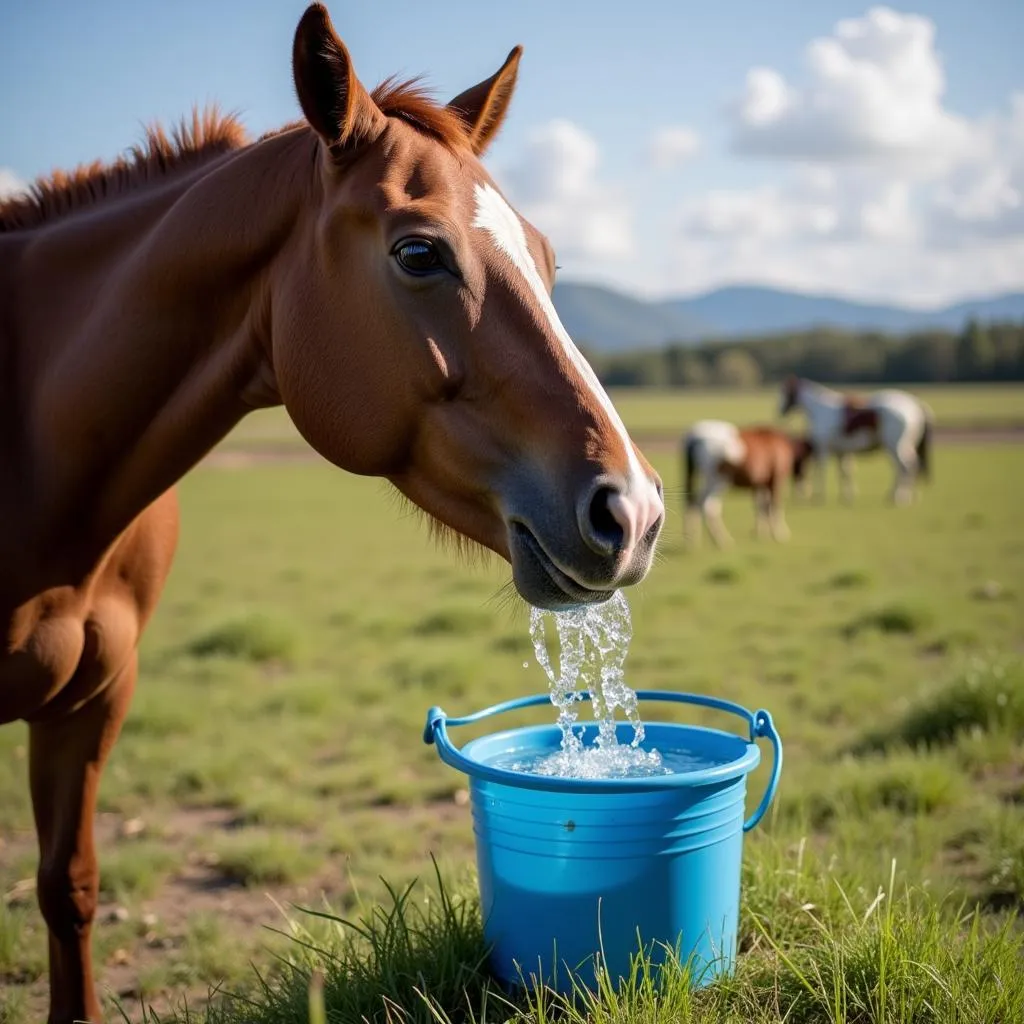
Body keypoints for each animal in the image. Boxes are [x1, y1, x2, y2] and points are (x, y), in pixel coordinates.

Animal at [778, 376, 933, 503]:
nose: (780, 410)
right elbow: (845, 472)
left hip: (894, 447)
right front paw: (846, 496)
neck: (820, 410)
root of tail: (915, 405)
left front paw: (819, 496)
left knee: (905, 467)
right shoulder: (842, 451)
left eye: (786, 393)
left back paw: (899, 497)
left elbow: (822, 470)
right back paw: (906, 495)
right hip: (903, 447)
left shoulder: (823, 449)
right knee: (911, 466)